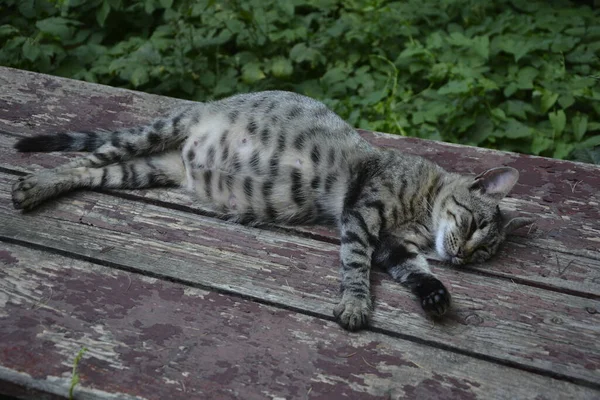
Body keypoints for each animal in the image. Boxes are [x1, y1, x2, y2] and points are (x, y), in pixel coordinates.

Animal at [11, 90, 532, 332]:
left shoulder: (393, 245)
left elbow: (417, 272)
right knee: (82, 160)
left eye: (485, 254)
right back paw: (34, 185)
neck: (423, 217)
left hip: (144, 170)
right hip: (150, 134)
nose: (462, 257)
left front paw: (437, 293)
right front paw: (354, 304)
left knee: (91, 173)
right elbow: (354, 266)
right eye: (473, 224)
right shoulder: (363, 216)